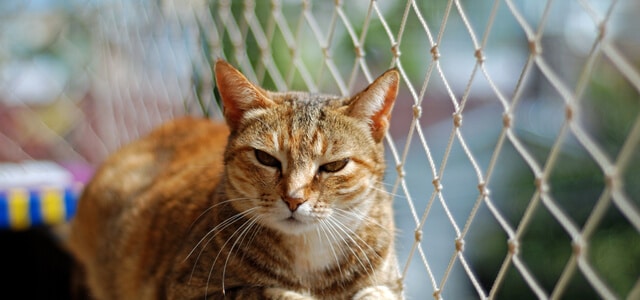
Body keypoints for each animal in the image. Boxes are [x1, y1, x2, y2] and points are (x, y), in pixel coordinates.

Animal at [67, 59, 402, 298]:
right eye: (266, 159)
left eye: (334, 166)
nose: (293, 199)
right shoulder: (190, 289)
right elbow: (266, 293)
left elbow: (379, 292)